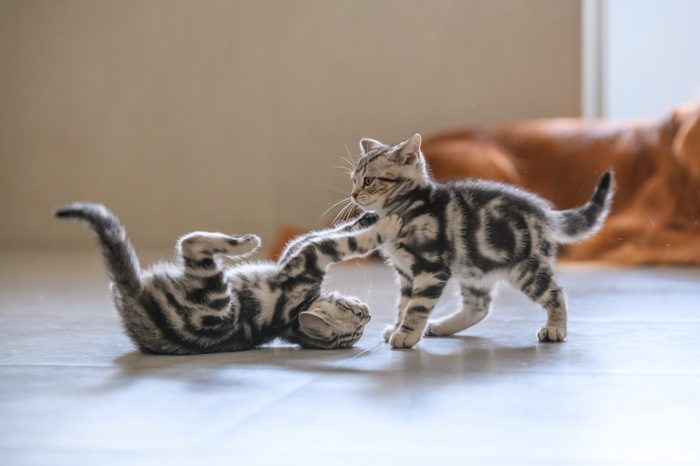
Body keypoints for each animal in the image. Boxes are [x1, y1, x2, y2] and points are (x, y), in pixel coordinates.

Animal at [56, 203, 400, 354]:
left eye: (360, 323)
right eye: (355, 314)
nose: (368, 313)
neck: (289, 320)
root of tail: (134, 297)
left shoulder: (306, 259)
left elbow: (347, 242)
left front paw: (385, 225)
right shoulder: (302, 255)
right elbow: (337, 233)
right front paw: (372, 217)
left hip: (215, 296)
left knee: (190, 243)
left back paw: (241, 243)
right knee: (190, 242)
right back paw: (244, 242)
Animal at [350, 133, 612, 348]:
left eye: (369, 181)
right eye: (354, 179)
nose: (353, 195)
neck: (409, 206)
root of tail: (544, 213)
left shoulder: (430, 268)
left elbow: (417, 306)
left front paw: (407, 334)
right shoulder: (406, 273)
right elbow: (403, 304)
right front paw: (398, 327)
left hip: (526, 268)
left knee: (556, 294)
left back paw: (555, 328)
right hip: (475, 269)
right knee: (479, 307)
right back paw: (441, 326)